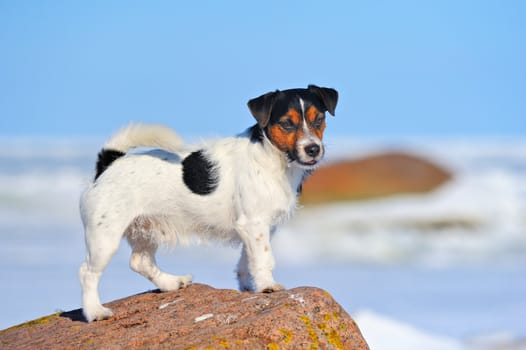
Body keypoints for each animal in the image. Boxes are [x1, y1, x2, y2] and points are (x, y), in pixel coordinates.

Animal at [80, 83, 340, 322]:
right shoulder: (254, 224)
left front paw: (248, 286)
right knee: (88, 273)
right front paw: (267, 285)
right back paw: (95, 312)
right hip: (105, 237)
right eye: (287, 123)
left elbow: (247, 259)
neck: (273, 158)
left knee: (140, 262)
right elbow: (263, 258)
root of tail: (108, 164)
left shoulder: (253, 229)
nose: (313, 149)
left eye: (319, 120)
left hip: (145, 230)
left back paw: (171, 283)